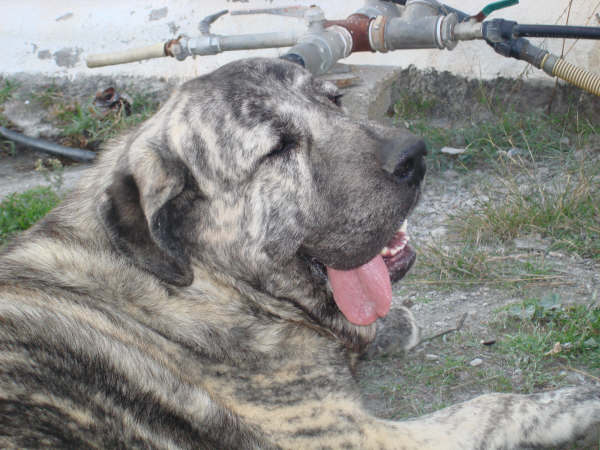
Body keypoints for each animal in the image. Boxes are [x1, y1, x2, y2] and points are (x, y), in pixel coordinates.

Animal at [1, 58, 600, 448]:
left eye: (334, 100)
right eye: (279, 148)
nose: (416, 155)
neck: (209, 281)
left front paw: (390, 324)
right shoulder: (348, 436)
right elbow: (489, 406)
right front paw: (573, 402)